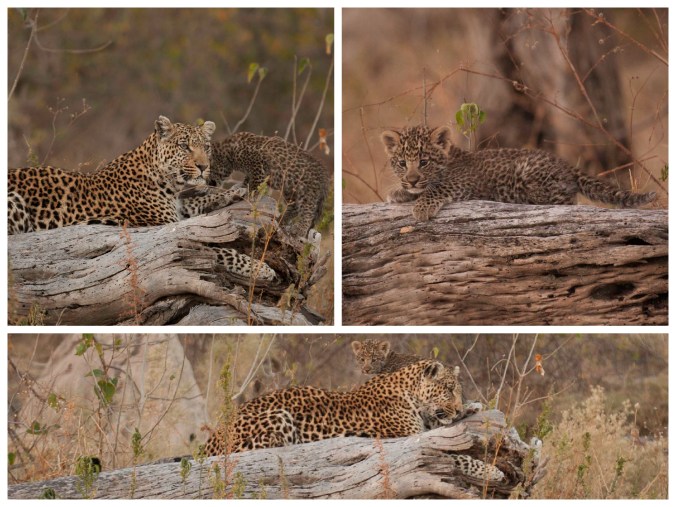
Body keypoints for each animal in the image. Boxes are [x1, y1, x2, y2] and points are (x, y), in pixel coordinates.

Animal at [8, 116, 270, 281]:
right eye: (184, 146)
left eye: (206, 147)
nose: (204, 167)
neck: (166, 181)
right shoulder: (162, 230)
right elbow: (218, 250)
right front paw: (260, 268)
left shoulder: (177, 211)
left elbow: (194, 202)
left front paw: (234, 191)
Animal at [382, 124, 657, 221]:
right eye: (402, 163)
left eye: (424, 161)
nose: (412, 180)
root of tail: (566, 165)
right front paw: (399, 192)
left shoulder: (464, 184)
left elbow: (437, 188)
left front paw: (421, 207)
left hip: (529, 177)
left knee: (566, 200)